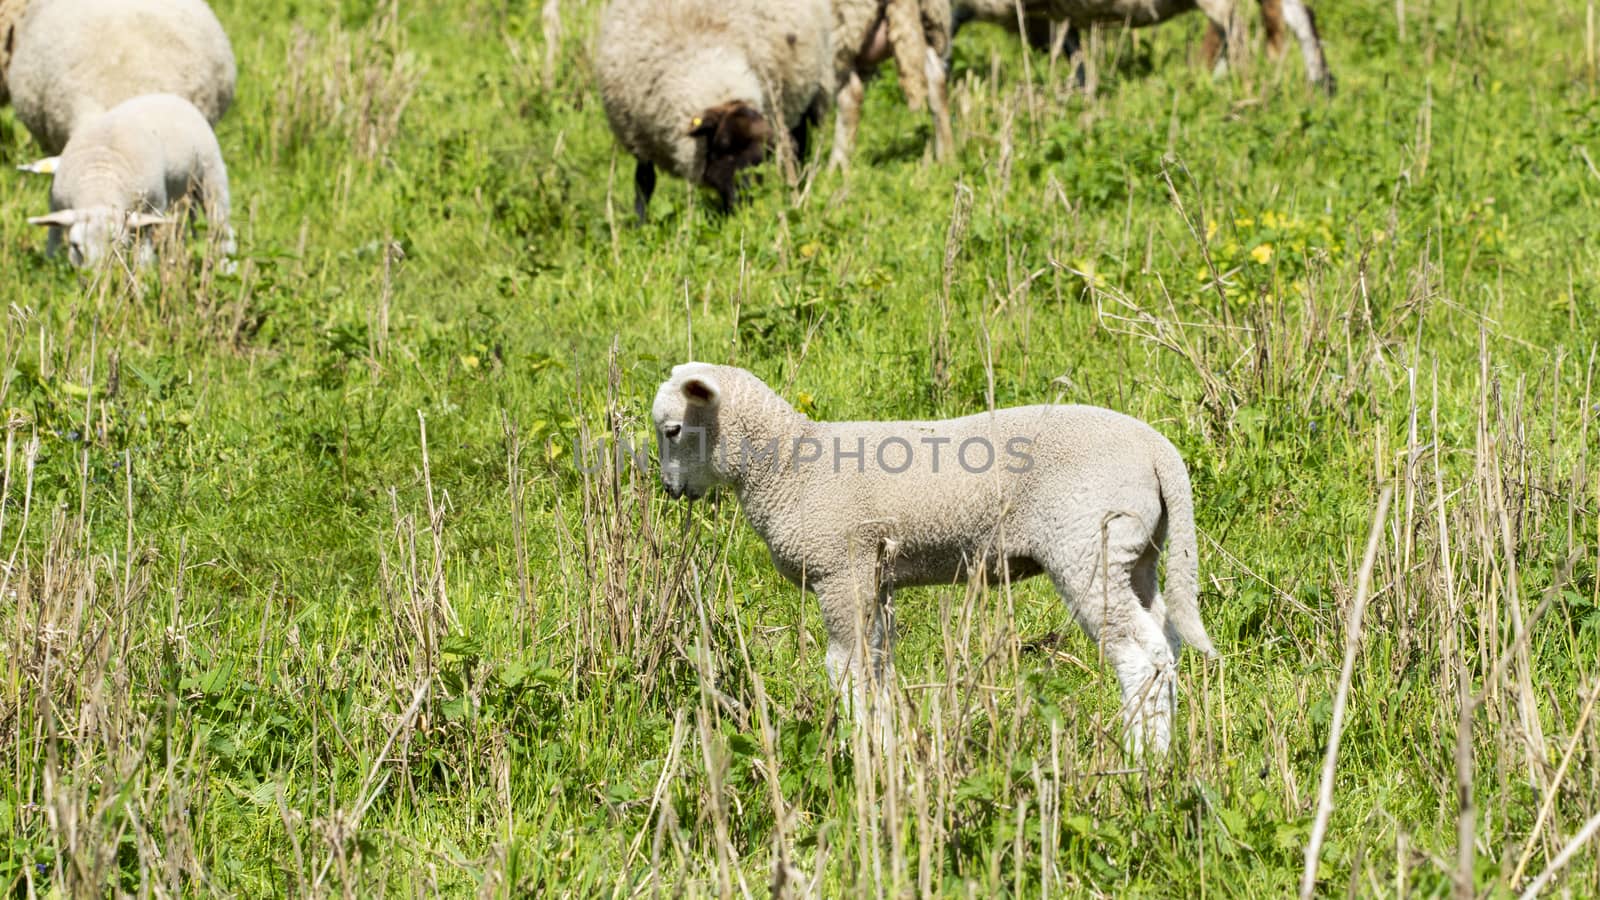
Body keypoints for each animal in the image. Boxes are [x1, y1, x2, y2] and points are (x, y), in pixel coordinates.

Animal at [25, 92, 233, 265]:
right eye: (75, 247)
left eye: (118, 247)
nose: (95, 281)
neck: (100, 181)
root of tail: (168, 96)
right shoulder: (57, 202)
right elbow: (53, 235)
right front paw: (50, 263)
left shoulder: (154, 206)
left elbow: (144, 248)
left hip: (211, 173)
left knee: (222, 227)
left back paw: (226, 266)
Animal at [592, 0, 838, 219]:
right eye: (722, 147)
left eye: (764, 154)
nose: (744, 198)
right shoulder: (639, 138)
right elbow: (644, 182)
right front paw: (640, 225)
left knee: (799, 150)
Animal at [649, 360, 1209, 752]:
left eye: (673, 430)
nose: (670, 491)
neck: (788, 467)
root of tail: (1159, 451)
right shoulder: (875, 574)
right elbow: (877, 661)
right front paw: (885, 739)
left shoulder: (841, 567)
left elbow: (846, 666)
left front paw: (863, 746)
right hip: (1138, 552)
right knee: (1164, 638)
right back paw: (1166, 753)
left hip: (1086, 543)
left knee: (1139, 653)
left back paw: (1142, 760)